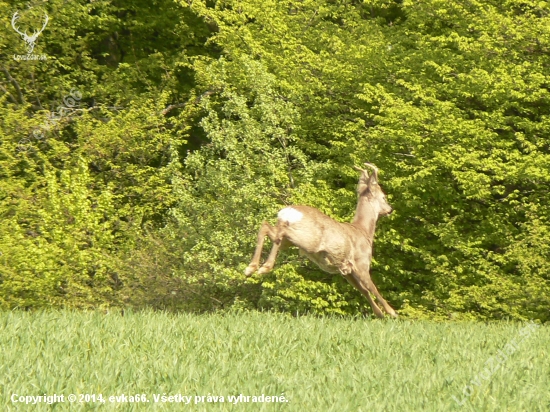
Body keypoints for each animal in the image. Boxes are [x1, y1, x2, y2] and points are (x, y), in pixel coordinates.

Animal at [245, 163, 396, 318]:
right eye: (383, 197)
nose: (390, 209)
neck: (364, 232)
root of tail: (288, 212)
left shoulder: (345, 271)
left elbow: (364, 290)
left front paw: (379, 313)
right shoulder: (361, 263)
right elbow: (372, 288)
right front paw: (391, 312)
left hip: (291, 240)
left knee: (266, 227)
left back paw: (252, 268)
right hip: (308, 240)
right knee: (278, 233)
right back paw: (263, 267)